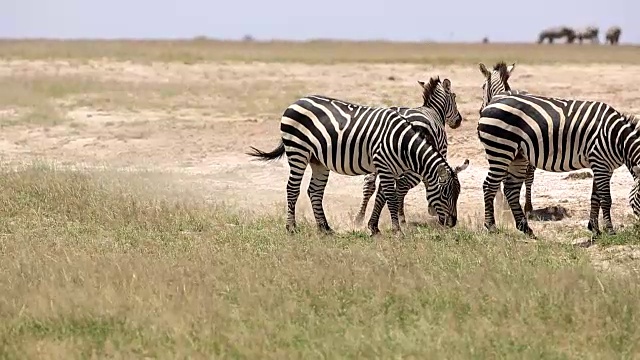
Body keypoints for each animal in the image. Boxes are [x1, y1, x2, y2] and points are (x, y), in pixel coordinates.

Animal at [246, 93, 464, 235]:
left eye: (457, 194)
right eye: (445, 194)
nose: (453, 223)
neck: (402, 144)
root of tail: (297, 101)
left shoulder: (390, 168)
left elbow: (382, 197)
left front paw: (374, 227)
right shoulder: (384, 164)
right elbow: (391, 198)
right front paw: (396, 231)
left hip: (318, 160)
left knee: (314, 191)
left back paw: (325, 228)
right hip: (298, 150)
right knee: (293, 188)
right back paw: (291, 227)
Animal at [356, 76, 464, 228]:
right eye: (454, 97)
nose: (459, 121)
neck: (434, 110)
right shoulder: (439, 151)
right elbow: (432, 180)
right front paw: (432, 208)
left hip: (373, 154)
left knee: (369, 183)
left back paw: (359, 218)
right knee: (401, 186)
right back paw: (401, 218)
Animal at [476, 90, 640, 242]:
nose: (638, 230)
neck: (618, 139)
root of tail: (492, 102)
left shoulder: (604, 166)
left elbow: (595, 197)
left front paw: (595, 229)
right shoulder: (600, 163)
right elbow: (606, 199)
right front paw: (610, 231)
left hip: (518, 156)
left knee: (511, 191)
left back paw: (526, 229)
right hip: (501, 150)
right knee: (489, 186)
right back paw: (491, 227)